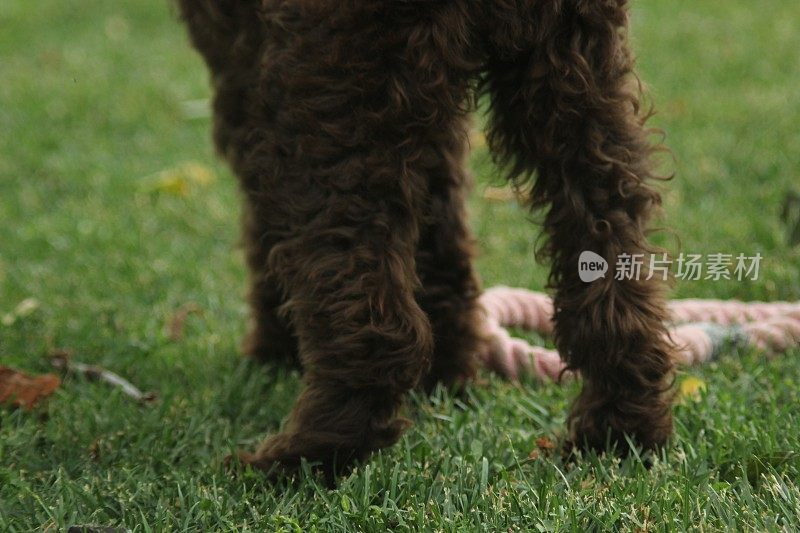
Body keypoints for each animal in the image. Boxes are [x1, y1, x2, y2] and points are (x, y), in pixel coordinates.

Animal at [175, 0, 676, 480]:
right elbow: (440, 227)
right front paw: (448, 371)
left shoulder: (246, 66)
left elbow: (266, 225)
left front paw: (275, 346)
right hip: (573, 76)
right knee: (610, 238)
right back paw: (619, 430)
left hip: (337, 82)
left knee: (367, 301)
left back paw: (310, 455)